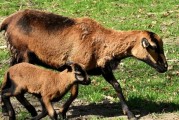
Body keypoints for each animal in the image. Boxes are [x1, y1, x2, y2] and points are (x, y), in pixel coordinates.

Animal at [0, 9, 168, 119]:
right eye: (153, 47)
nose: (165, 67)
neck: (103, 42)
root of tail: (8, 20)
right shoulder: (76, 65)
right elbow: (75, 93)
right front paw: (62, 112)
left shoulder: (103, 67)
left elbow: (117, 86)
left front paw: (130, 114)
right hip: (23, 54)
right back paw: (29, 110)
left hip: (16, 56)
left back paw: (10, 109)